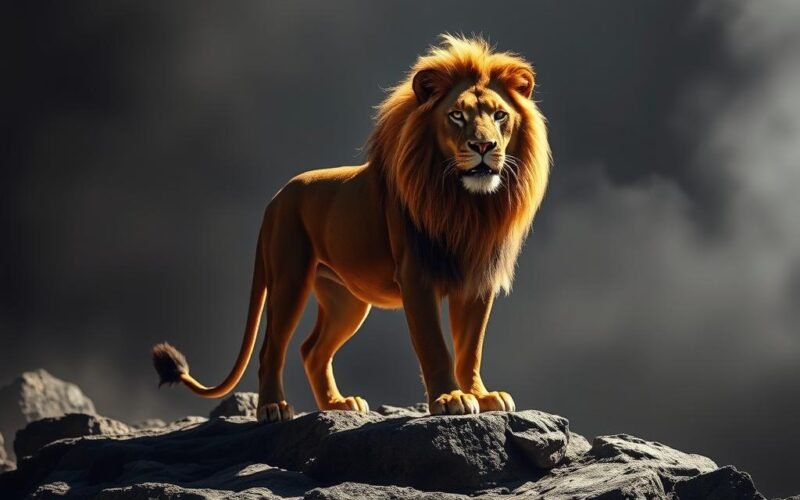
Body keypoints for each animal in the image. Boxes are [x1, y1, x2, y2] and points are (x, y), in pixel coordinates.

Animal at [153, 34, 551, 423]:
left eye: (500, 115)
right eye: (456, 115)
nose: (484, 145)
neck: (469, 204)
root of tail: (277, 198)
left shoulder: (476, 280)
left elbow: (470, 349)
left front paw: (482, 396)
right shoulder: (416, 276)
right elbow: (434, 345)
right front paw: (450, 398)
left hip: (346, 301)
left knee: (311, 350)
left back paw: (338, 404)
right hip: (289, 279)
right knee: (271, 349)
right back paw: (273, 408)